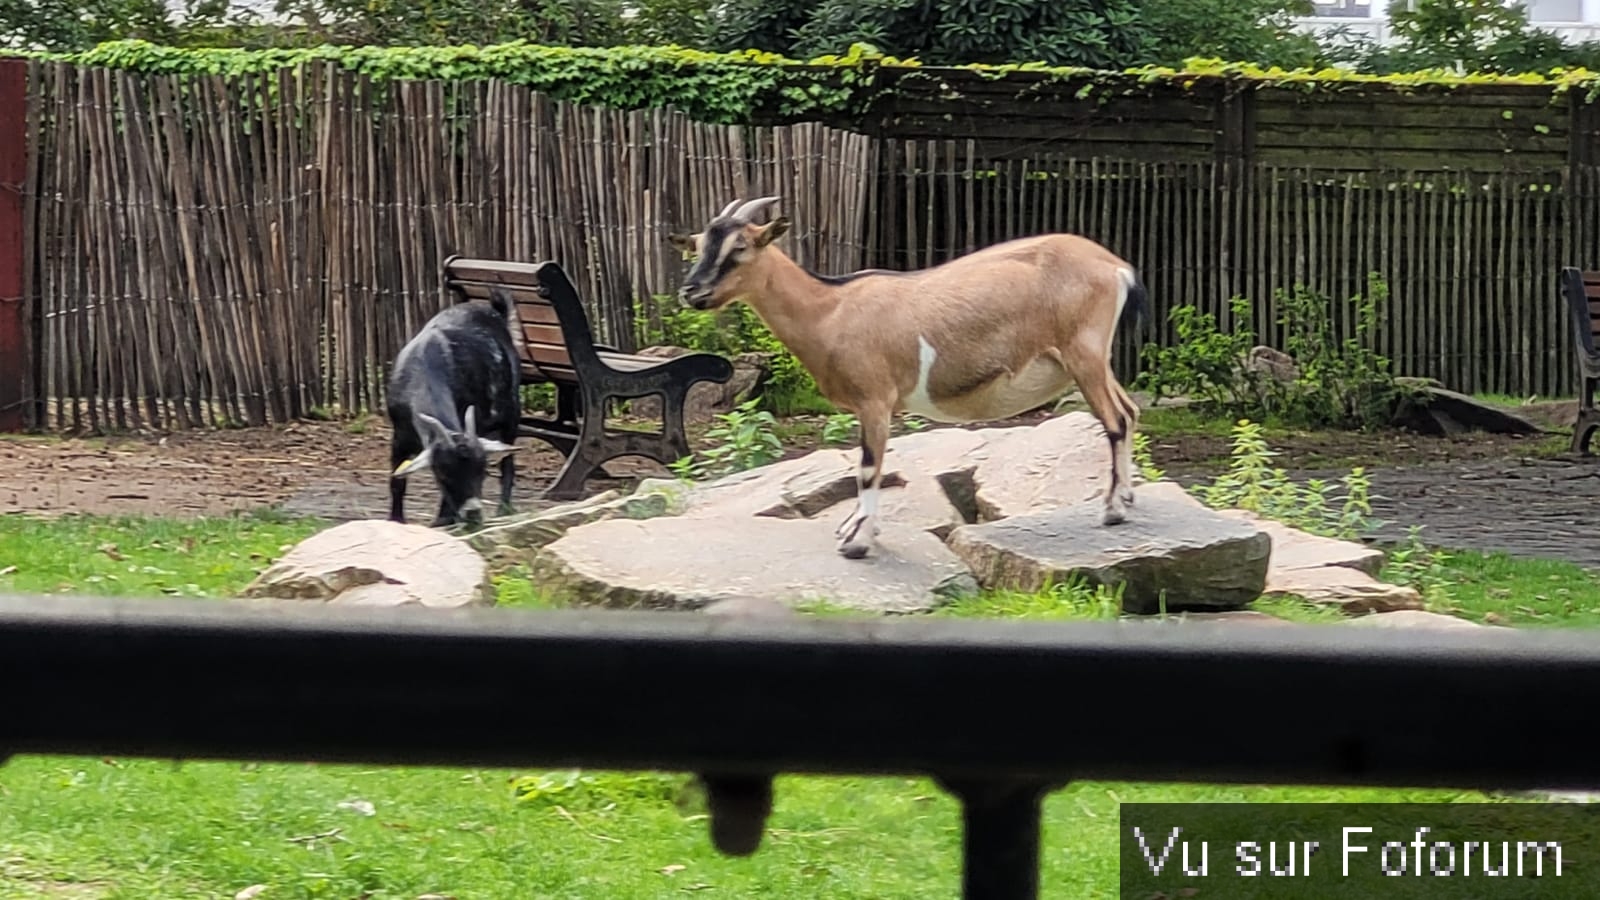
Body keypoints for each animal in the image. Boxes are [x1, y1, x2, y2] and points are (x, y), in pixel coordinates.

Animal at [384, 291, 521, 525]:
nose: (473, 513)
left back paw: (504, 508)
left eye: (482, 470)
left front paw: (443, 520)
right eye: (443, 474)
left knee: (508, 463)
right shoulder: (399, 436)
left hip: (511, 412)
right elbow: (397, 481)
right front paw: (396, 520)